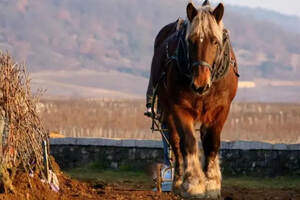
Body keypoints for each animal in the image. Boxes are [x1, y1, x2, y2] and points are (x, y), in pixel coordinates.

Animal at [150, 0, 239, 199]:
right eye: (190, 41)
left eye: (215, 41)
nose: (200, 83)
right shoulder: (179, 108)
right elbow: (188, 142)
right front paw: (194, 184)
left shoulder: (221, 109)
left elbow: (212, 142)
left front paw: (212, 183)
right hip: (167, 110)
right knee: (175, 142)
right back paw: (177, 181)